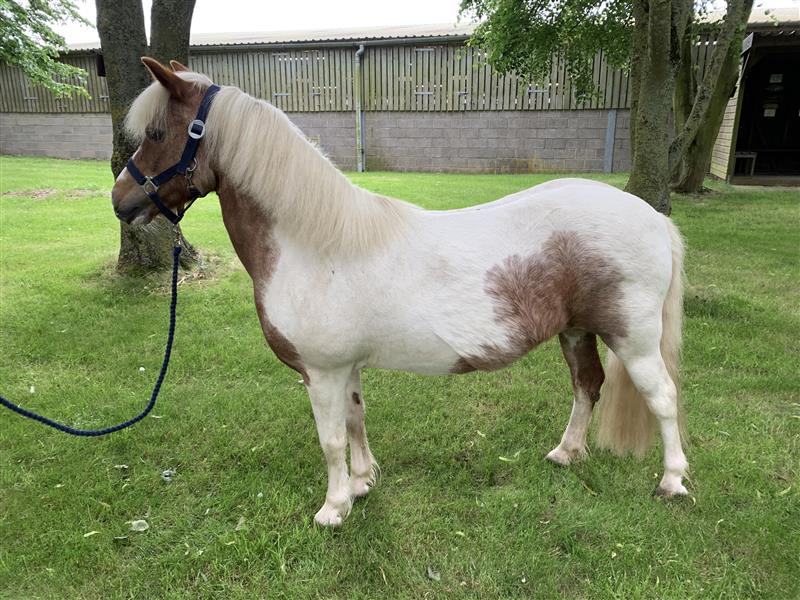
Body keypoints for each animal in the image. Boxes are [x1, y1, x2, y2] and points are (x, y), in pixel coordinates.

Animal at [112, 58, 689, 527]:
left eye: (158, 132)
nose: (120, 202)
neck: (314, 243)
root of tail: (653, 218)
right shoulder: (345, 368)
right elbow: (356, 419)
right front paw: (362, 483)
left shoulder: (321, 372)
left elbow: (330, 439)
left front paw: (333, 508)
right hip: (576, 330)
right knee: (586, 386)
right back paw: (566, 454)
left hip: (633, 340)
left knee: (662, 397)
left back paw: (672, 482)